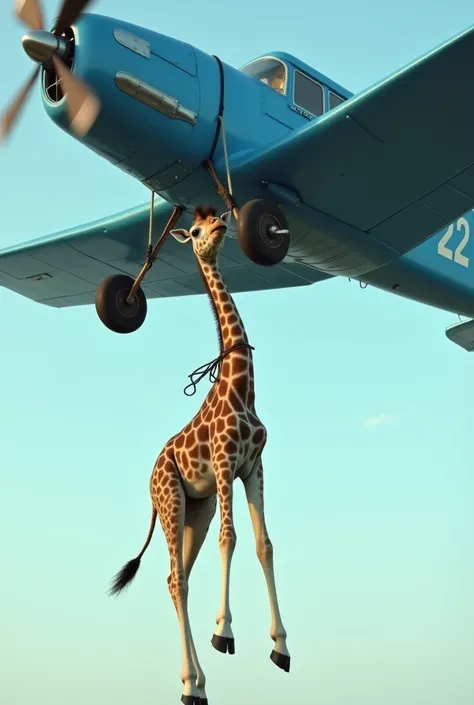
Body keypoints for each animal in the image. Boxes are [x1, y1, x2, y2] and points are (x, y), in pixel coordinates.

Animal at [109, 205, 290, 704]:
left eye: (217, 217)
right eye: (193, 231)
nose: (221, 227)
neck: (241, 384)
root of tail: (151, 480)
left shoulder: (254, 467)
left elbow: (264, 544)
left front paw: (280, 646)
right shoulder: (227, 463)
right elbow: (232, 538)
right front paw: (224, 631)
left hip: (197, 508)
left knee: (178, 579)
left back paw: (195, 685)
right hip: (173, 500)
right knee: (177, 577)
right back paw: (195, 680)